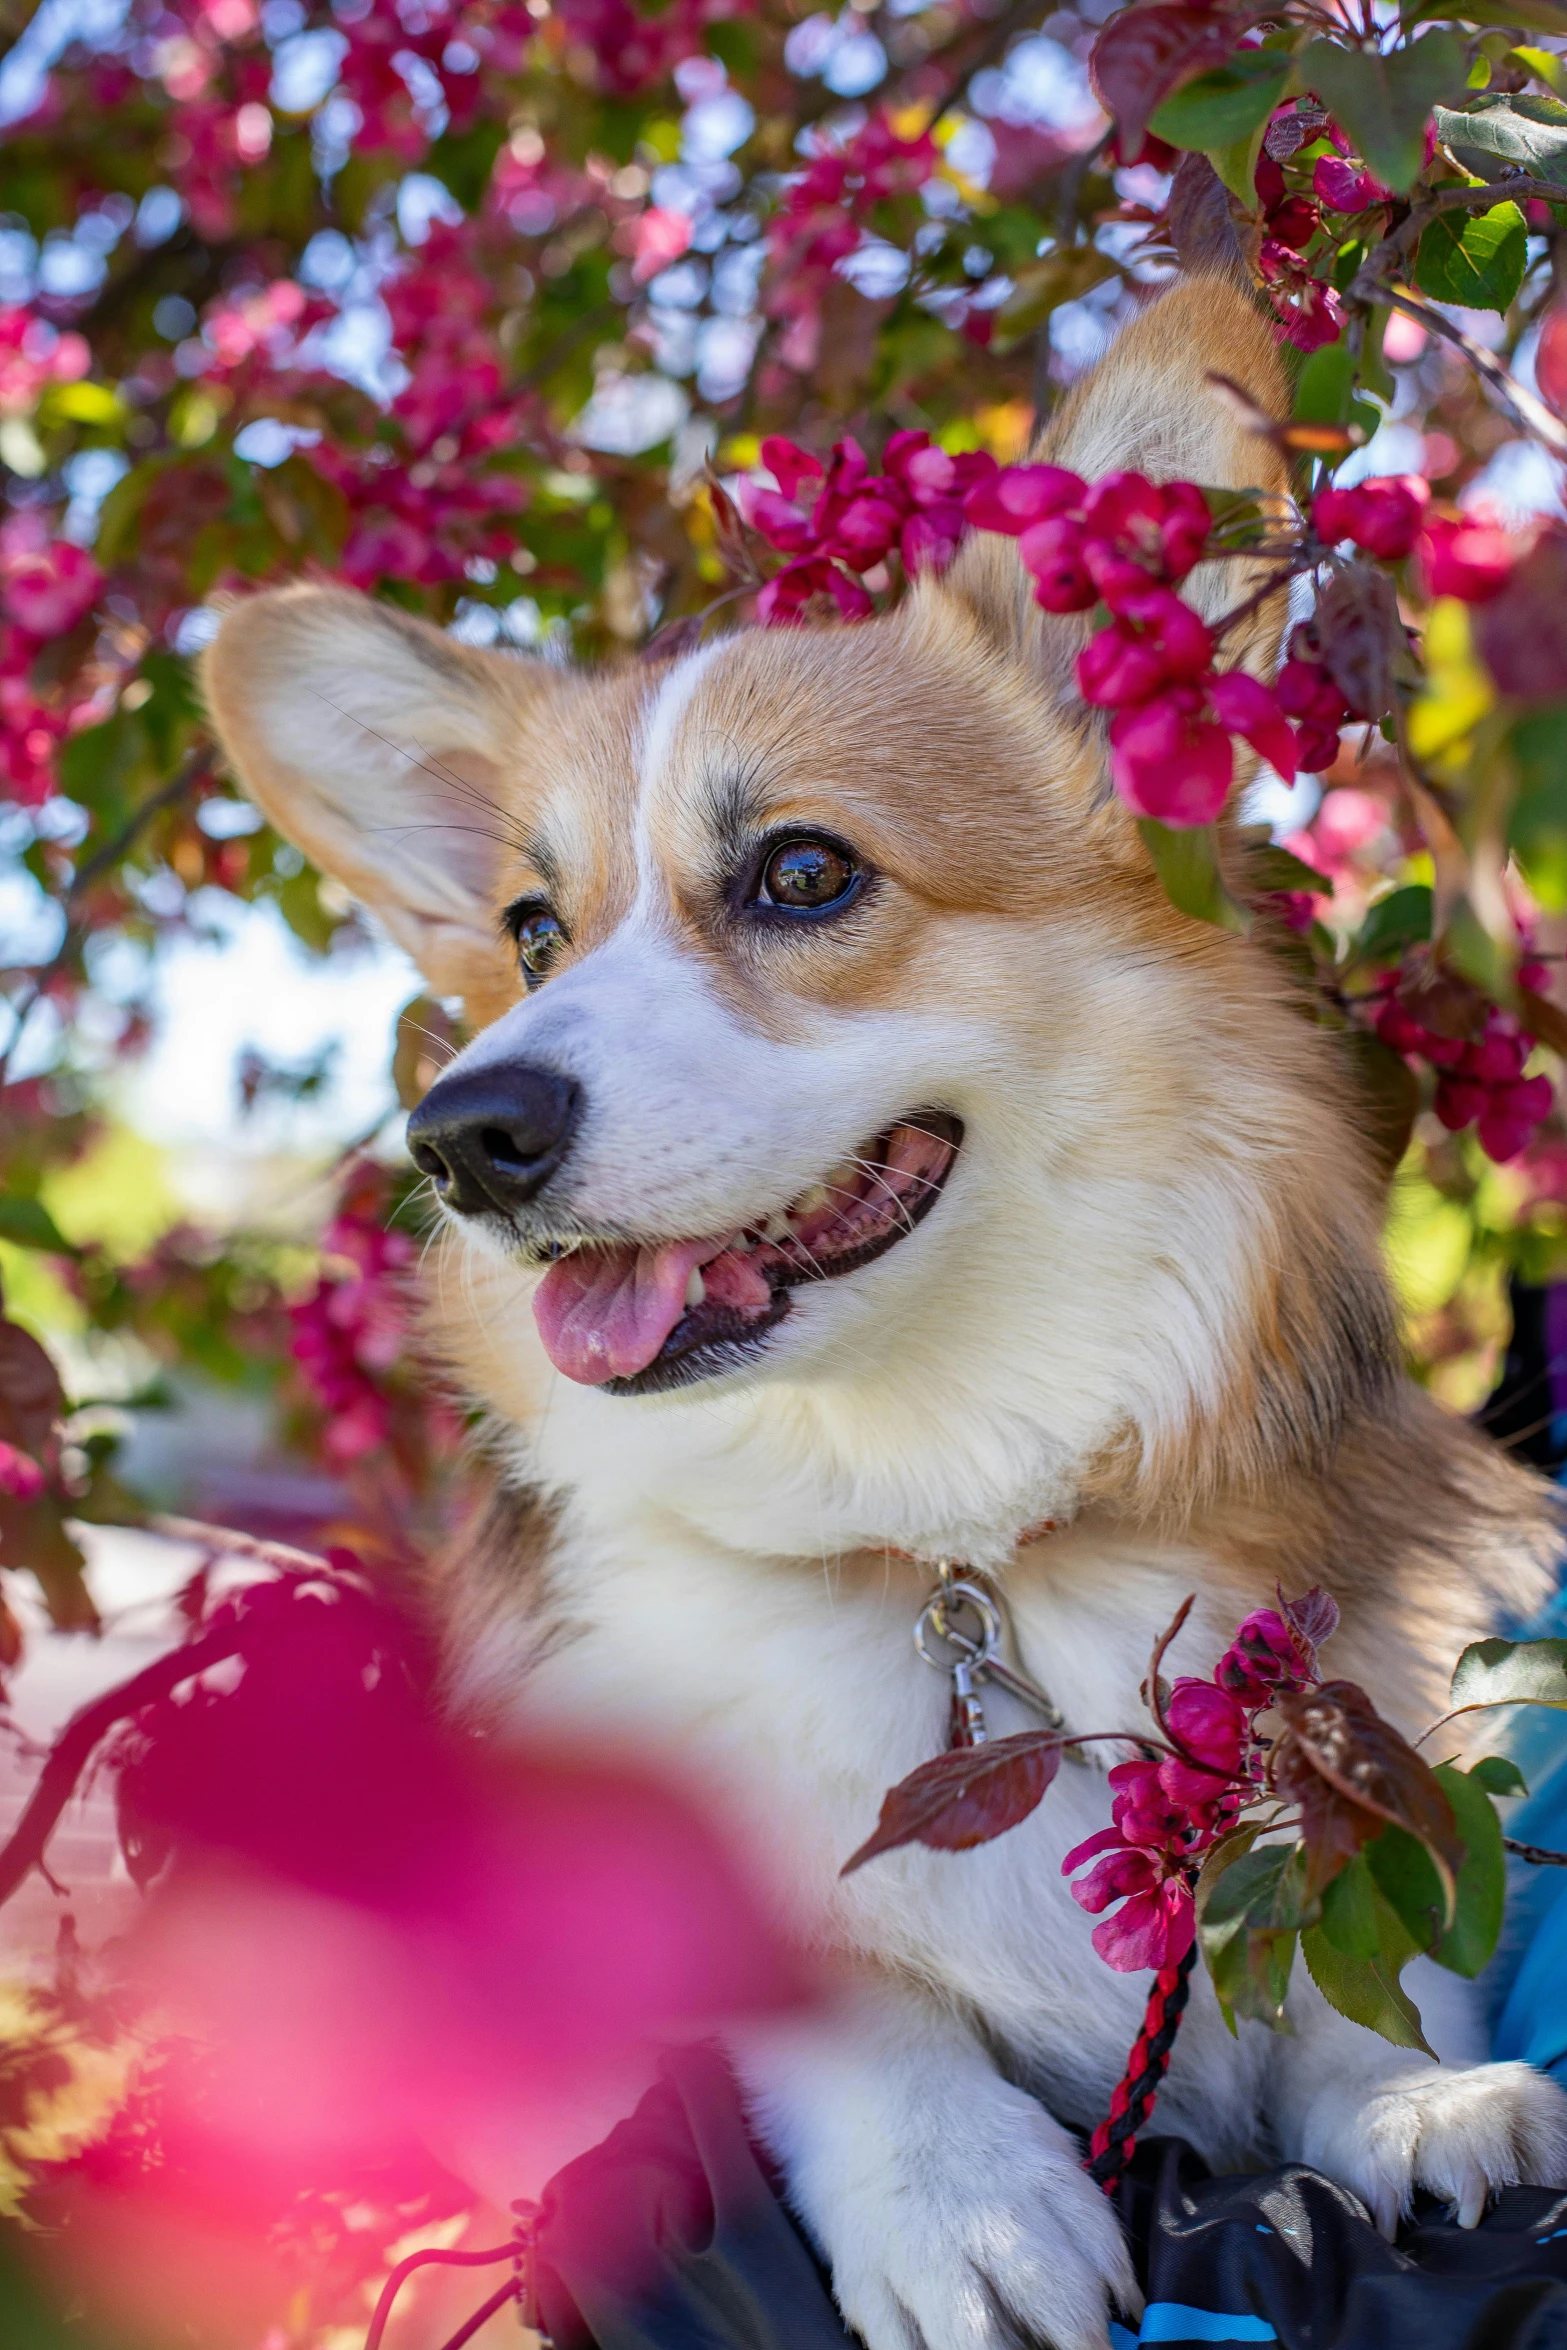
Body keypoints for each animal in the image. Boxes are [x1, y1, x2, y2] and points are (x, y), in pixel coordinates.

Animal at [205, 274, 1567, 2350]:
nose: (465, 1137)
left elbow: (1365, 1926)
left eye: (800, 871)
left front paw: (1425, 2093)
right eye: (532, 931)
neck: (946, 1540)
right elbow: (830, 1988)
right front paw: (960, 2197)